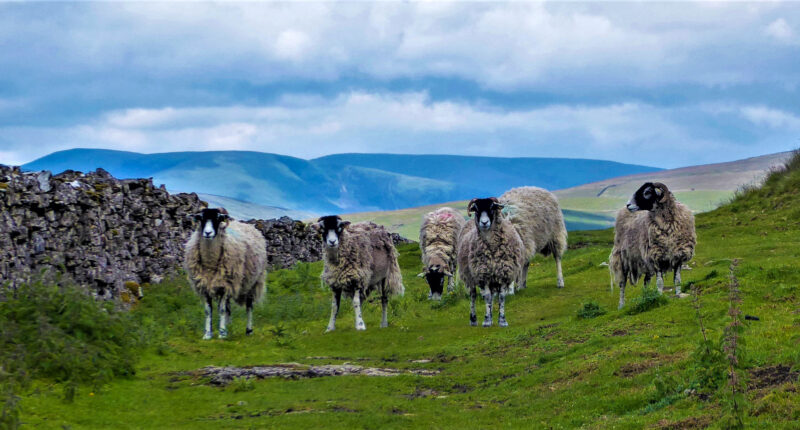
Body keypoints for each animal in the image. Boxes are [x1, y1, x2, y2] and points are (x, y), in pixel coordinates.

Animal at [183, 208, 268, 340]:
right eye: (201, 218)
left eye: (218, 218)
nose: (208, 233)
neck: (210, 263)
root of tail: (250, 226)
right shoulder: (206, 286)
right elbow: (208, 311)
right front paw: (208, 334)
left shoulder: (225, 286)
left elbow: (222, 310)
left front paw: (222, 334)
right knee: (228, 308)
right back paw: (229, 328)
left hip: (253, 283)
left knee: (249, 307)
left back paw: (248, 330)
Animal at [456, 197, 524, 326]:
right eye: (476, 209)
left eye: (492, 207)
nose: (484, 223)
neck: (492, 249)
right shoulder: (483, 275)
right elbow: (487, 297)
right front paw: (487, 321)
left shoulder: (502, 273)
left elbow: (501, 297)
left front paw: (502, 321)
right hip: (470, 276)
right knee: (473, 296)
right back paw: (473, 320)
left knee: (492, 297)